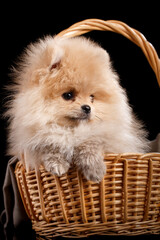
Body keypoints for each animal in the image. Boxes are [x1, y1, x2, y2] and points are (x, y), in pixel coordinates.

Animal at [5, 35, 149, 182]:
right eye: (68, 95)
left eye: (92, 97)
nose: (87, 108)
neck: (72, 130)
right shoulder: (33, 139)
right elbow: (49, 144)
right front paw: (57, 164)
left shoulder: (109, 138)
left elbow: (91, 143)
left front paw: (95, 170)